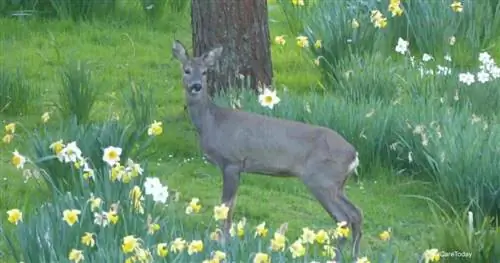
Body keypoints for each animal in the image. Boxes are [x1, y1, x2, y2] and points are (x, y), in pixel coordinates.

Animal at [172, 40, 364, 260]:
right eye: (186, 70)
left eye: (204, 72)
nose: (196, 86)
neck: (211, 122)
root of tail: (354, 154)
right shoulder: (237, 168)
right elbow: (232, 206)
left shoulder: (231, 161)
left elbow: (226, 208)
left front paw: (222, 244)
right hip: (338, 184)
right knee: (356, 213)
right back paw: (355, 256)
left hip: (321, 180)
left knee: (343, 218)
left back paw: (336, 257)